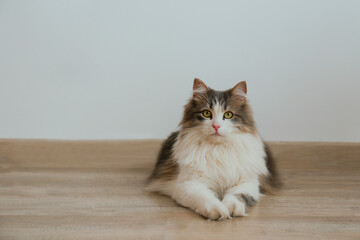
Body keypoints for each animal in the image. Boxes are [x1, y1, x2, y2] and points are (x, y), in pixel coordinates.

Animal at [147, 78, 282, 219]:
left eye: (228, 115)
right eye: (207, 113)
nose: (216, 126)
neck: (218, 150)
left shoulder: (247, 183)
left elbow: (237, 196)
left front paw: (232, 209)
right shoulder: (188, 184)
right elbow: (206, 198)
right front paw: (219, 210)